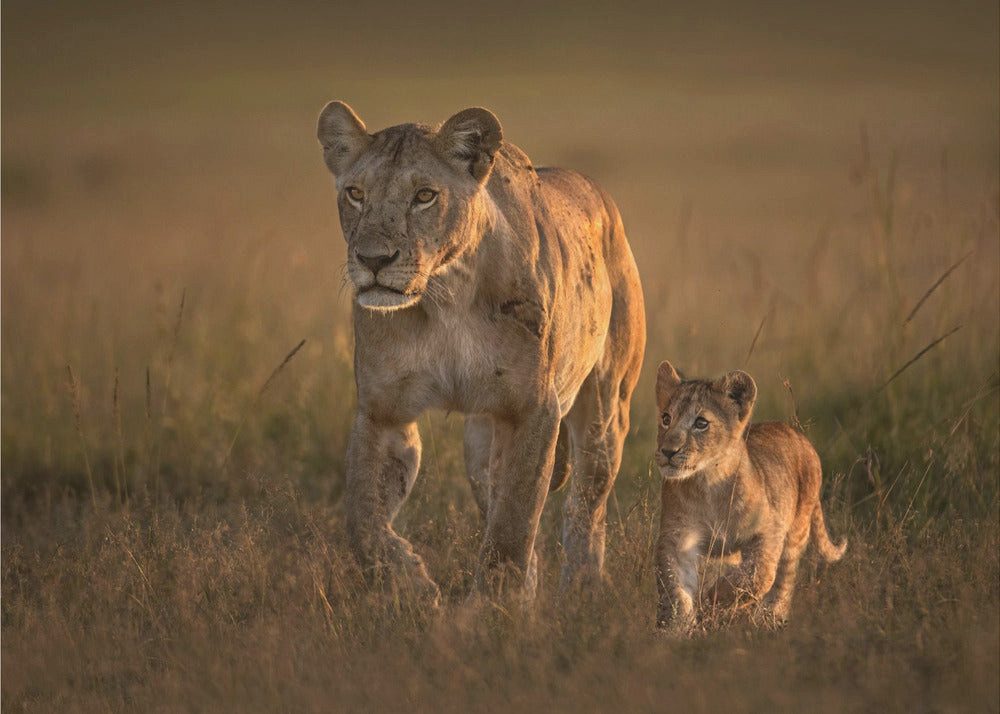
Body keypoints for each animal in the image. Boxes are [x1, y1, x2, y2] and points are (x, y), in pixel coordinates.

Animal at [316, 101, 646, 602]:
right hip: (480, 443)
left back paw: (582, 591)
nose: (373, 260)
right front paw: (412, 585)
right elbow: (363, 521)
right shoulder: (383, 412)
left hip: (606, 410)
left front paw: (494, 609)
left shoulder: (533, 409)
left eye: (425, 196)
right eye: (355, 193)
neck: (445, 295)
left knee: (586, 508)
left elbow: (512, 526)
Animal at [653, 360, 846, 629]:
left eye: (701, 423)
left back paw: (769, 619)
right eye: (666, 418)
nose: (668, 451)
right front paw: (675, 627)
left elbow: (759, 574)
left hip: (796, 531)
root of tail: (799, 435)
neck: (708, 484)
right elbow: (675, 588)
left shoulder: (769, 530)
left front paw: (714, 597)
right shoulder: (677, 539)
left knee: (784, 580)